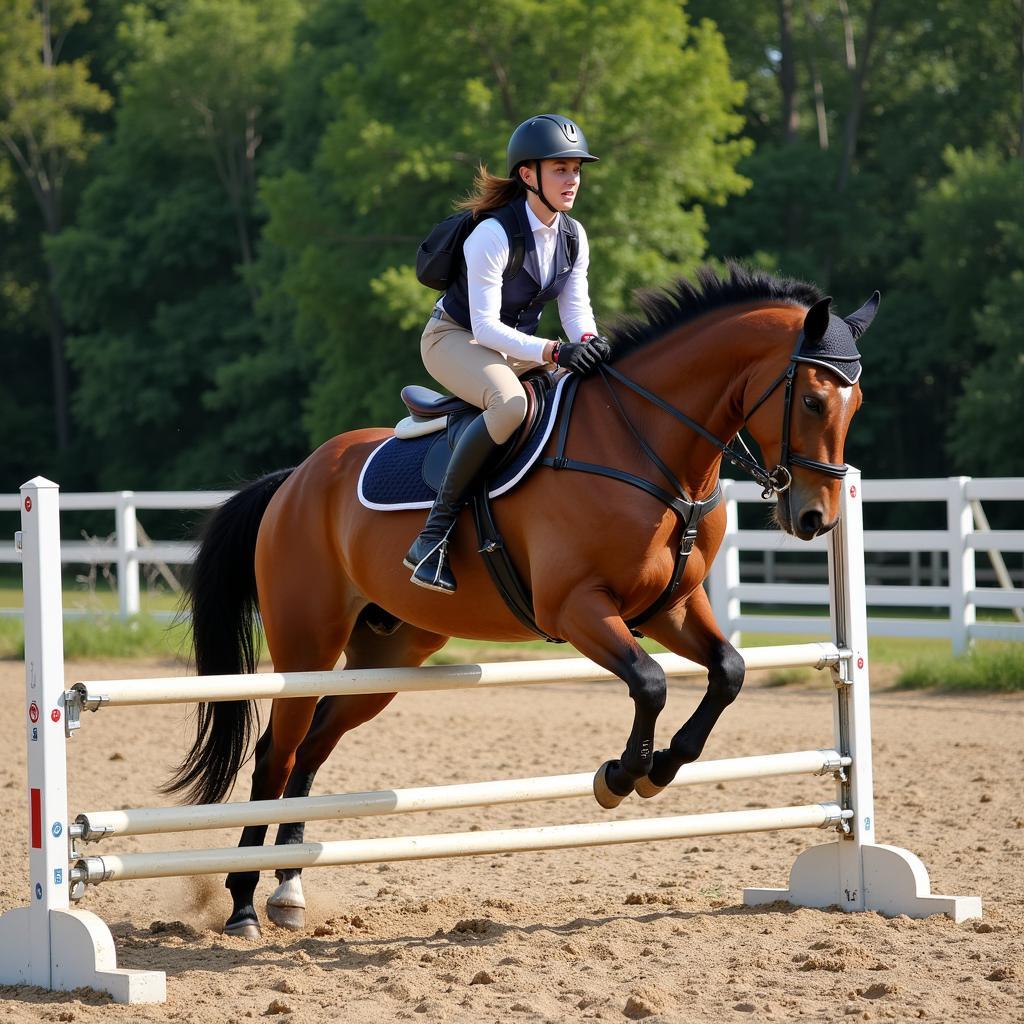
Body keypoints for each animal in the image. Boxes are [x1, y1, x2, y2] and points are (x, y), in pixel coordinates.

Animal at [172, 262, 876, 937]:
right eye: (812, 400)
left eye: (856, 403)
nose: (816, 518)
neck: (647, 446)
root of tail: (296, 477)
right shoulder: (577, 608)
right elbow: (649, 682)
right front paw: (621, 776)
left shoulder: (669, 608)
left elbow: (727, 671)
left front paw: (664, 767)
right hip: (307, 642)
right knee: (278, 752)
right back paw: (241, 902)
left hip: (387, 654)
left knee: (314, 746)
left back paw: (288, 890)